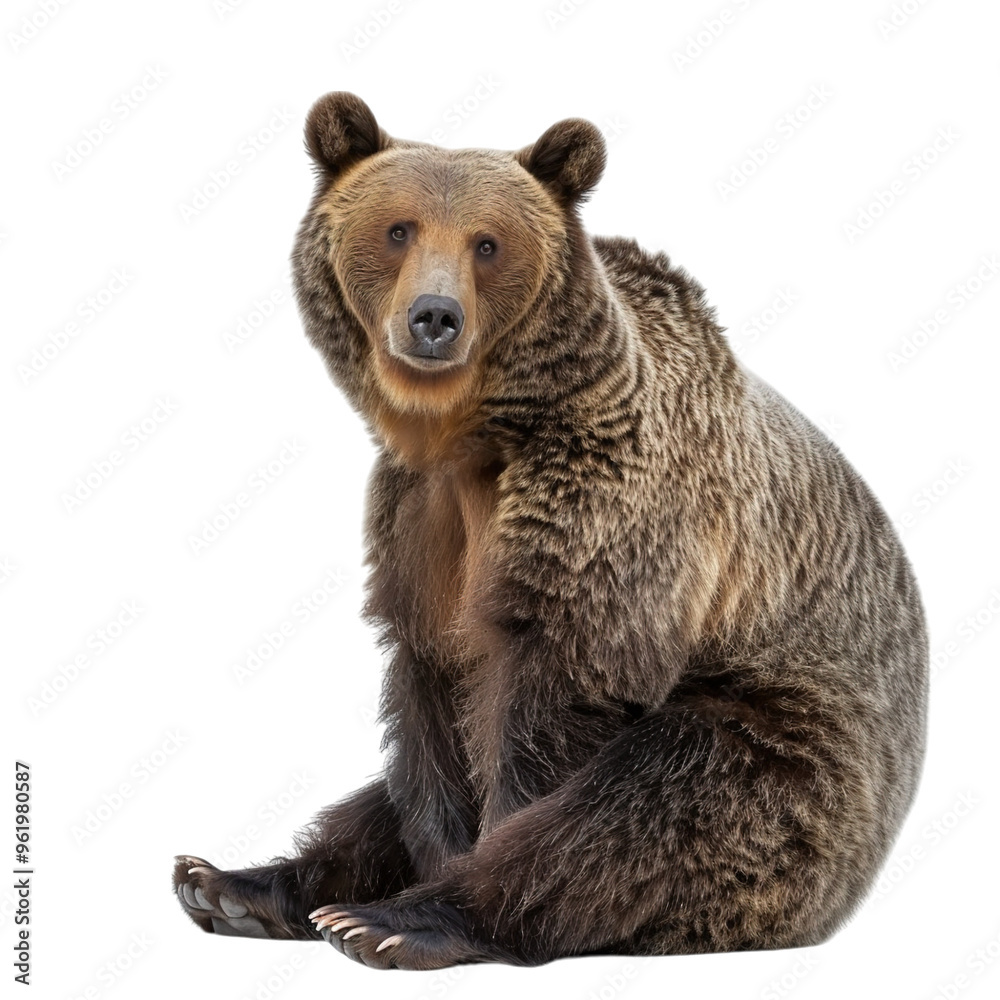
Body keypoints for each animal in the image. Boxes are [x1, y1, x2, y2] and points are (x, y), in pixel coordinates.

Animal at [173, 92, 929, 970]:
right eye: (398, 229)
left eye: (487, 243)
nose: (434, 318)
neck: (475, 438)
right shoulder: (417, 522)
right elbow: (428, 692)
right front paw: (415, 854)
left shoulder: (606, 511)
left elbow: (555, 696)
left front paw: (432, 889)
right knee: (377, 798)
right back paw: (236, 886)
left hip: (792, 760)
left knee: (647, 804)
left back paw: (394, 922)